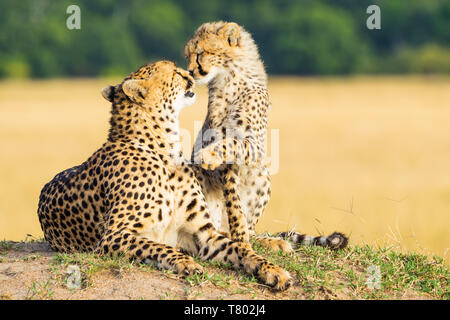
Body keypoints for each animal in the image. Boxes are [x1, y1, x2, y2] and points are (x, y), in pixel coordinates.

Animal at [37, 60, 292, 290]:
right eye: (174, 72)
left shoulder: (205, 235)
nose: (190, 73)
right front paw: (186, 263)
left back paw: (276, 243)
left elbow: (240, 250)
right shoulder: (113, 236)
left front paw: (273, 271)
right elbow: (158, 247)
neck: (164, 148)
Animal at [183, 21, 348, 251]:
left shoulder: (253, 145)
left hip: (262, 176)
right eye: (188, 55)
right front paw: (240, 238)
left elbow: (231, 144)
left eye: (200, 53)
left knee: (251, 231)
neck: (230, 79)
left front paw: (207, 155)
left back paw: (271, 241)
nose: (190, 71)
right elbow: (233, 199)